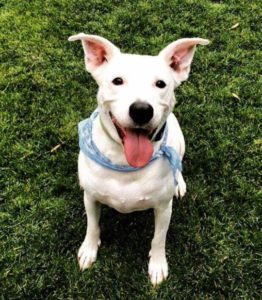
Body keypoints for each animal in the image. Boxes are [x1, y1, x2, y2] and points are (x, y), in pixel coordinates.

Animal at [68, 33, 208, 286]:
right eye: (117, 81)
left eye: (161, 84)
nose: (142, 110)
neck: (125, 163)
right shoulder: (90, 197)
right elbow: (92, 225)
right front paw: (89, 250)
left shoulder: (163, 208)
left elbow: (159, 238)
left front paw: (157, 265)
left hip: (180, 139)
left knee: (179, 164)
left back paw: (179, 183)